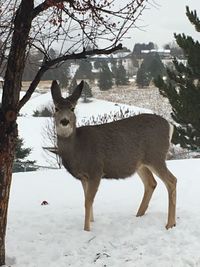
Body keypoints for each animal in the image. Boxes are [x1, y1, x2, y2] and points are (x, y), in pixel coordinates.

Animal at [50, 79, 177, 232]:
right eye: (56, 108)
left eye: (72, 108)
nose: (64, 121)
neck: (77, 149)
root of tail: (170, 126)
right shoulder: (83, 177)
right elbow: (87, 200)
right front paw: (91, 222)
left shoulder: (96, 170)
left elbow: (88, 202)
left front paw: (87, 229)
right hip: (141, 163)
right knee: (151, 183)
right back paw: (139, 215)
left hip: (156, 156)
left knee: (172, 181)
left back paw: (170, 224)